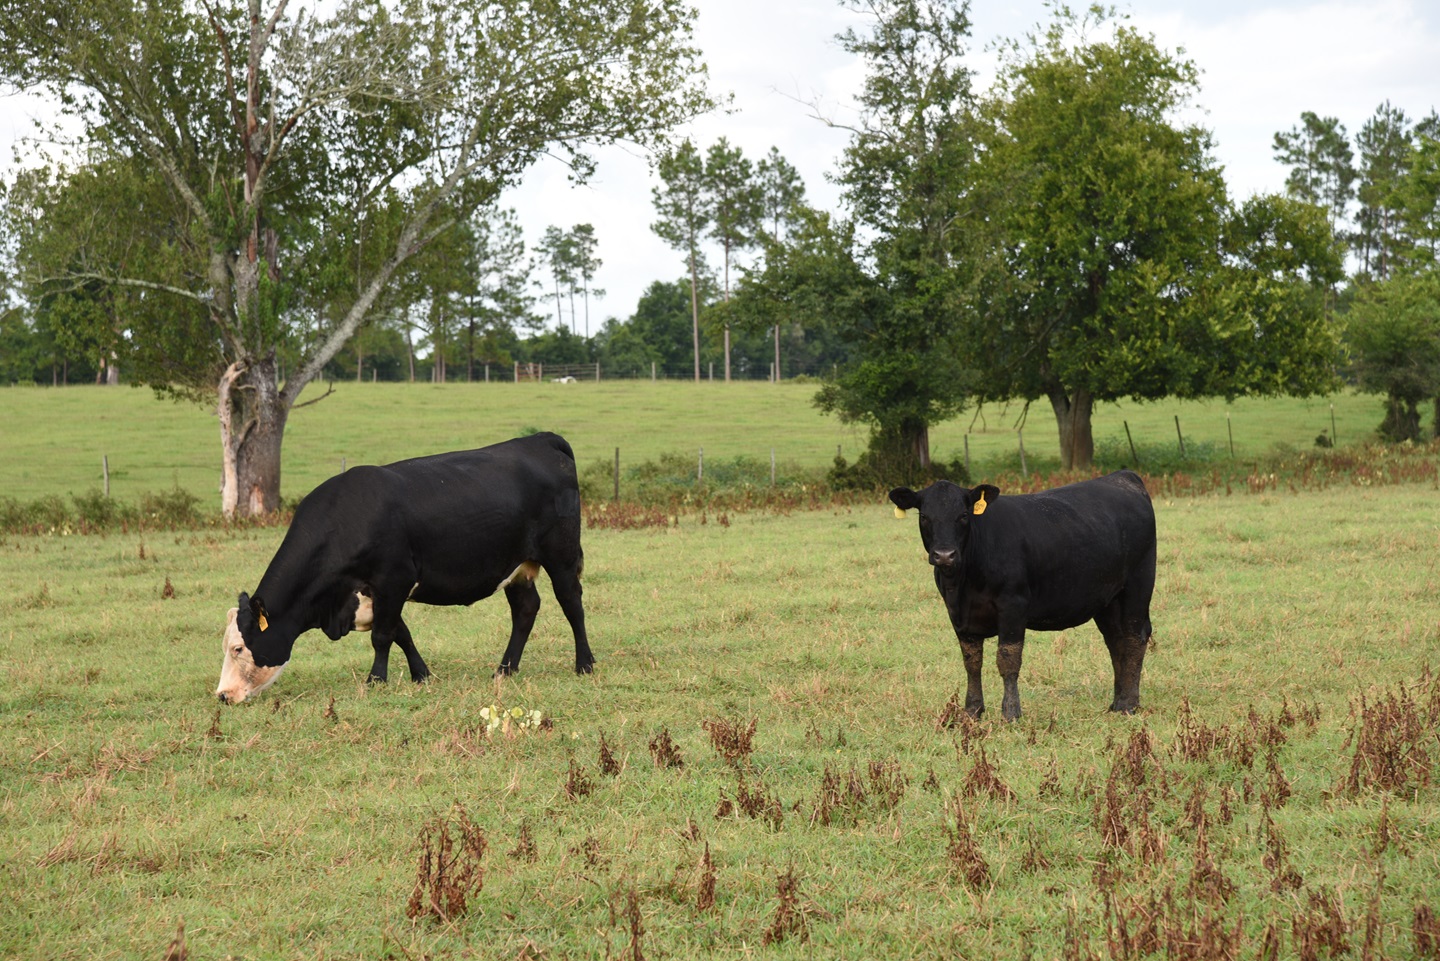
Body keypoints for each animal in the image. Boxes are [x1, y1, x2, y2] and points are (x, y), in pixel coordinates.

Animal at [215, 432, 594, 704]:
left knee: (572, 604)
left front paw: (376, 680)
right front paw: (421, 675)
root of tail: (539, 439)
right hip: (516, 568)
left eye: (238, 648)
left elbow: (383, 636)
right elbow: (401, 632)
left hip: (560, 557)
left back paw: (585, 664)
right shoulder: (379, 592)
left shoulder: (393, 579)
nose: (222, 696)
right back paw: (504, 670)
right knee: (526, 609)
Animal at [888, 470, 1155, 721]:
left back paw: (1128, 704)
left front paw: (1010, 712)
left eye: (963, 515)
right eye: (924, 517)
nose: (944, 555)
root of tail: (1123, 476)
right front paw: (972, 710)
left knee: (1135, 638)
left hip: (1138, 586)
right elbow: (972, 662)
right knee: (1116, 641)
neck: (964, 585)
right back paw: (1117, 702)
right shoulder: (958, 614)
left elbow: (1007, 659)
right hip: (1108, 599)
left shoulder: (1013, 605)